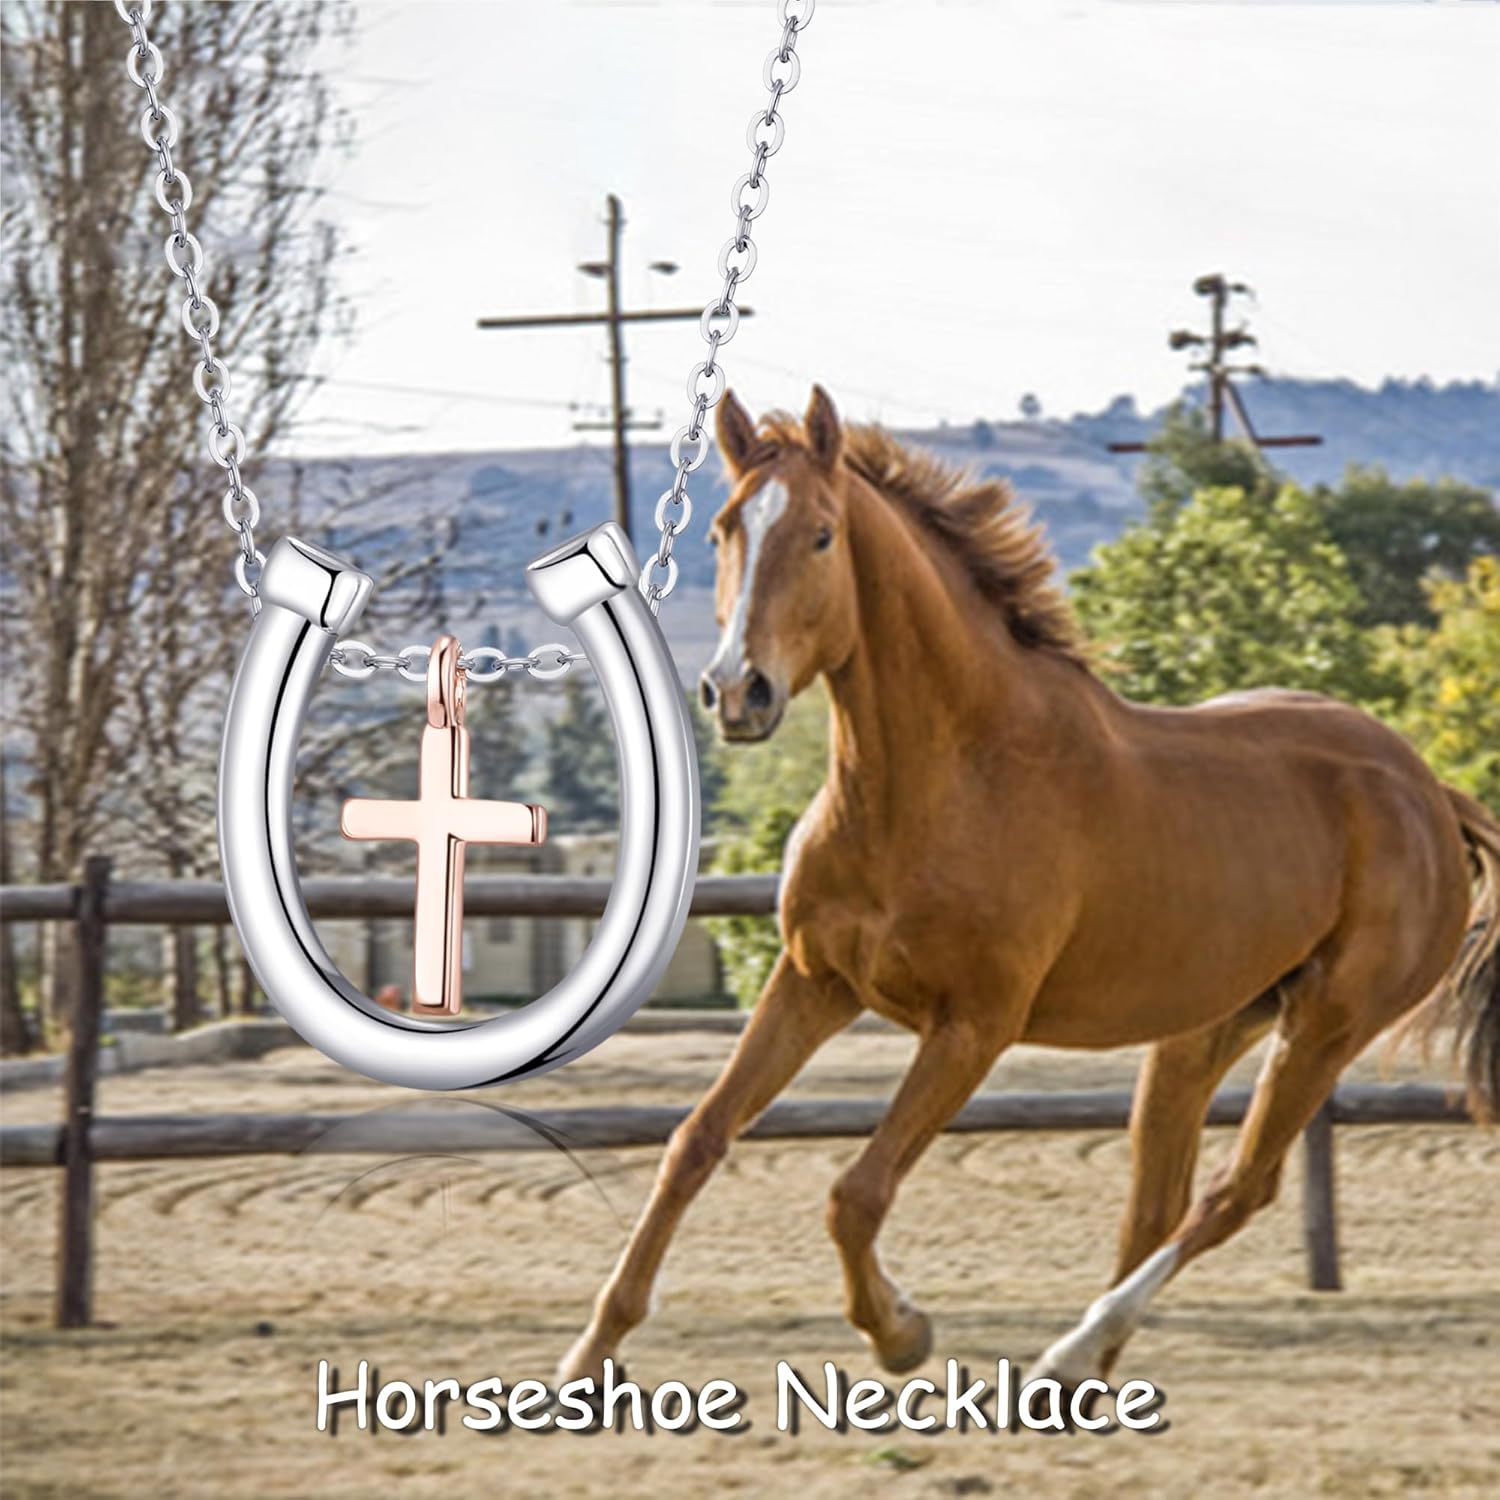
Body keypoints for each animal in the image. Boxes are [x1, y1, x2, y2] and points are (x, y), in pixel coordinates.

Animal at [559, 384, 1500, 1390]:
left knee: (1234, 1190)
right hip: (1206, 1028)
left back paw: (1069, 1351)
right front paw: (589, 1353)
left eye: (819, 534)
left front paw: (901, 1332)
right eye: (723, 529)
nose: (739, 693)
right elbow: (695, 1141)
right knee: (1156, 1199)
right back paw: (1085, 1370)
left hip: (1326, 1026)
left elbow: (857, 1191)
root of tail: (1427, 792)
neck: (944, 781)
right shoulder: (815, 982)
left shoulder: (973, 1026)